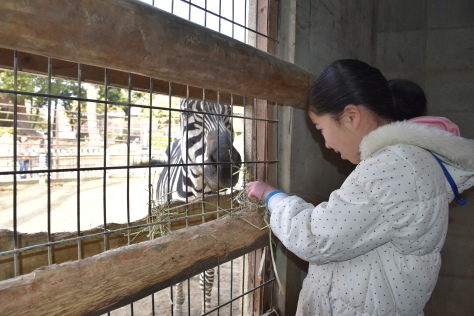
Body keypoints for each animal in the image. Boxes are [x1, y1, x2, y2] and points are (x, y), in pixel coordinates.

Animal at [156, 98, 243, 314]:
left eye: (229, 112)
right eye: (187, 112)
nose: (226, 166)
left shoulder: (213, 232)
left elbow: (208, 278)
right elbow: (176, 275)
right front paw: (178, 308)